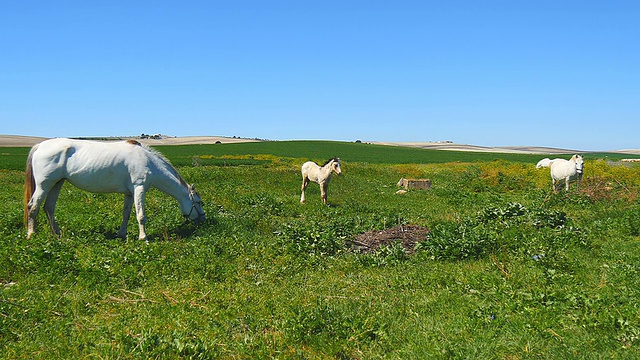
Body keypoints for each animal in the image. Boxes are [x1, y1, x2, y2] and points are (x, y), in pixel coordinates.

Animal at [24, 139, 205, 240]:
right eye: (198, 202)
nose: (203, 220)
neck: (148, 161)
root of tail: (40, 146)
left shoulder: (129, 193)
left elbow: (126, 214)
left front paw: (121, 234)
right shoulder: (139, 188)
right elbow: (141, 216)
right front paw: (143, 238)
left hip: (57, 184)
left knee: (49, 207)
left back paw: (57, 234)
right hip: (44, 185)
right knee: (33, 207)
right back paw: (31, 234)